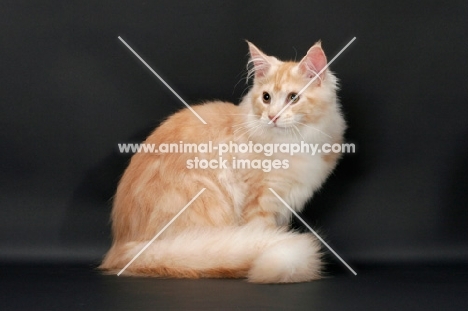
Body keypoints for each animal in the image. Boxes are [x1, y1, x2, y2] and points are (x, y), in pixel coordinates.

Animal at [98, 42, 346, 286]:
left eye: (293, 98)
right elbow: (264, 232)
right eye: (266, 97)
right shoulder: (261, 200)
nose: (272, 117)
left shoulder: (284, 205)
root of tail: (121, 248)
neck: (293, 141)